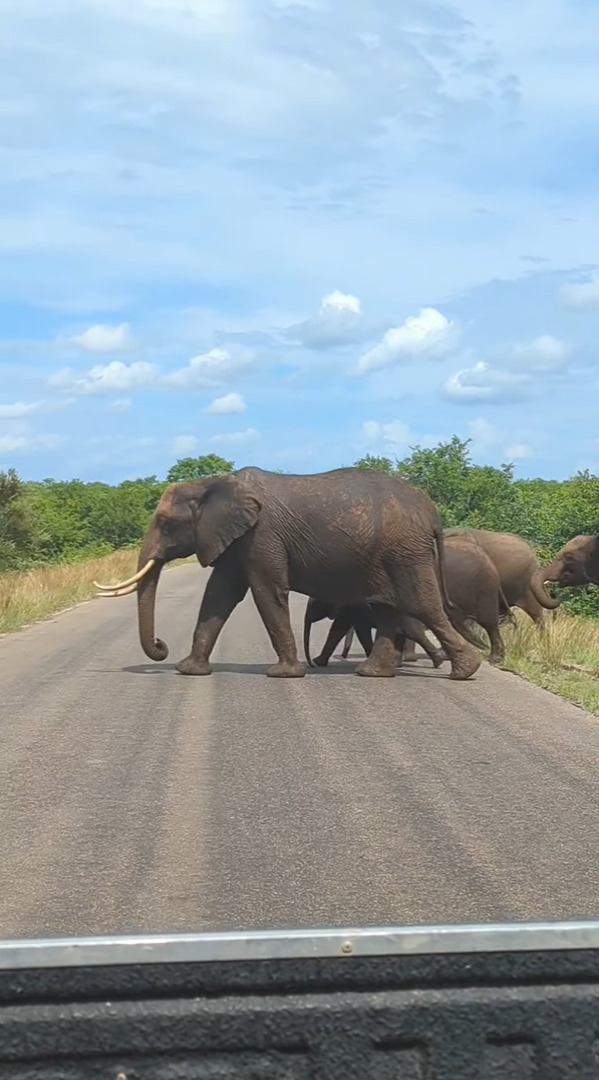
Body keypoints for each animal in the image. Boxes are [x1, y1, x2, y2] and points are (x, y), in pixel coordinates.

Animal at [94, 462, 483, 673]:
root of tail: (432, 513)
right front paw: (189, 671)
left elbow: (266, 592)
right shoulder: (239, 540)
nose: (161, 646)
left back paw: (465, 671)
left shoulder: (261, 535)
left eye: (165, 523)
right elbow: (218, 595)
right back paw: (372, 674)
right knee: (388, 609)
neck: (213, 483)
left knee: (422, 606)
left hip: (405, 552)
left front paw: (283, 674)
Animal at [306, 535, 513, 669]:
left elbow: (346, 626)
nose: (344, 655)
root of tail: (489, 562)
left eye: (315, 601)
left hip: (483, 590)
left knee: (488, 625)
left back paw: (493, 659)